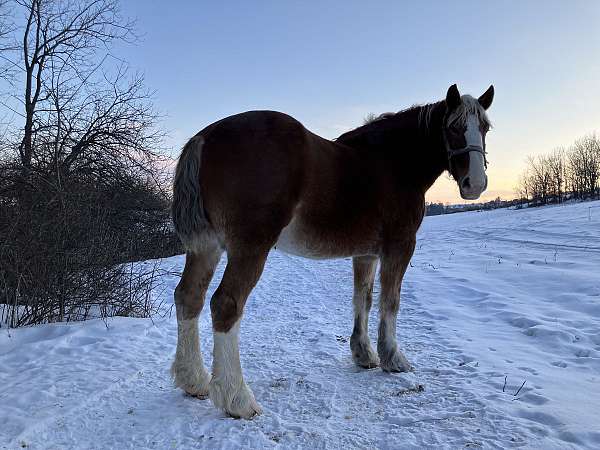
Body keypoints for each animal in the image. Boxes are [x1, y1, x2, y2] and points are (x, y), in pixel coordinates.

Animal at [169, 82, 492, 416]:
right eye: (453, 127)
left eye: (484, 127)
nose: (475, 184)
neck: (392, 163)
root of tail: (206, 136)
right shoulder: (400, 247)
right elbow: (390, 302)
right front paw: (393, 358)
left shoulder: (365, 253)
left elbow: (363, 299)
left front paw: (364, 354)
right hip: (250, 247)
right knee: (225, 304)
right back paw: (238, 398)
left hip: (205, 248)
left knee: (188, 297)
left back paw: (194, 380)